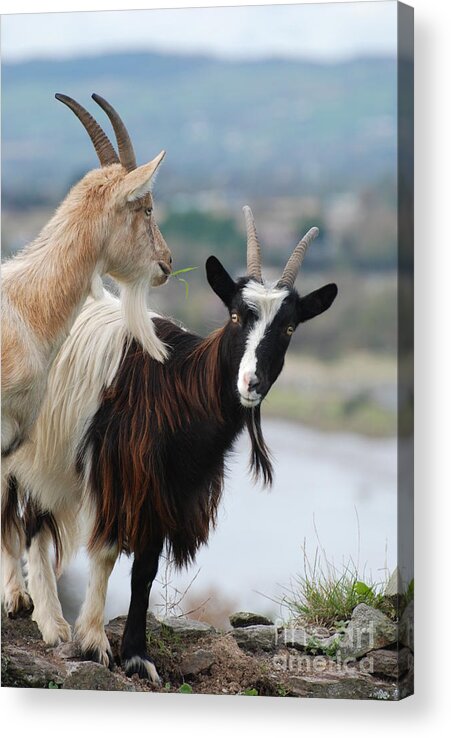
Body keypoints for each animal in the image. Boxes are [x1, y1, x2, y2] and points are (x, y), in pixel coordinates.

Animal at [5, 207, 338, 680]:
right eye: (235, 316)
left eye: (290, 326)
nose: (250, 382)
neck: (177, 385)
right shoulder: (119, 473)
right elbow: (107, 552)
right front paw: (94, 642)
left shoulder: (165, 489)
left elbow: (145, 569)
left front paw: (136, 655)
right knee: (30, 517)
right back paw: (49, 620)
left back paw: (23, 600)